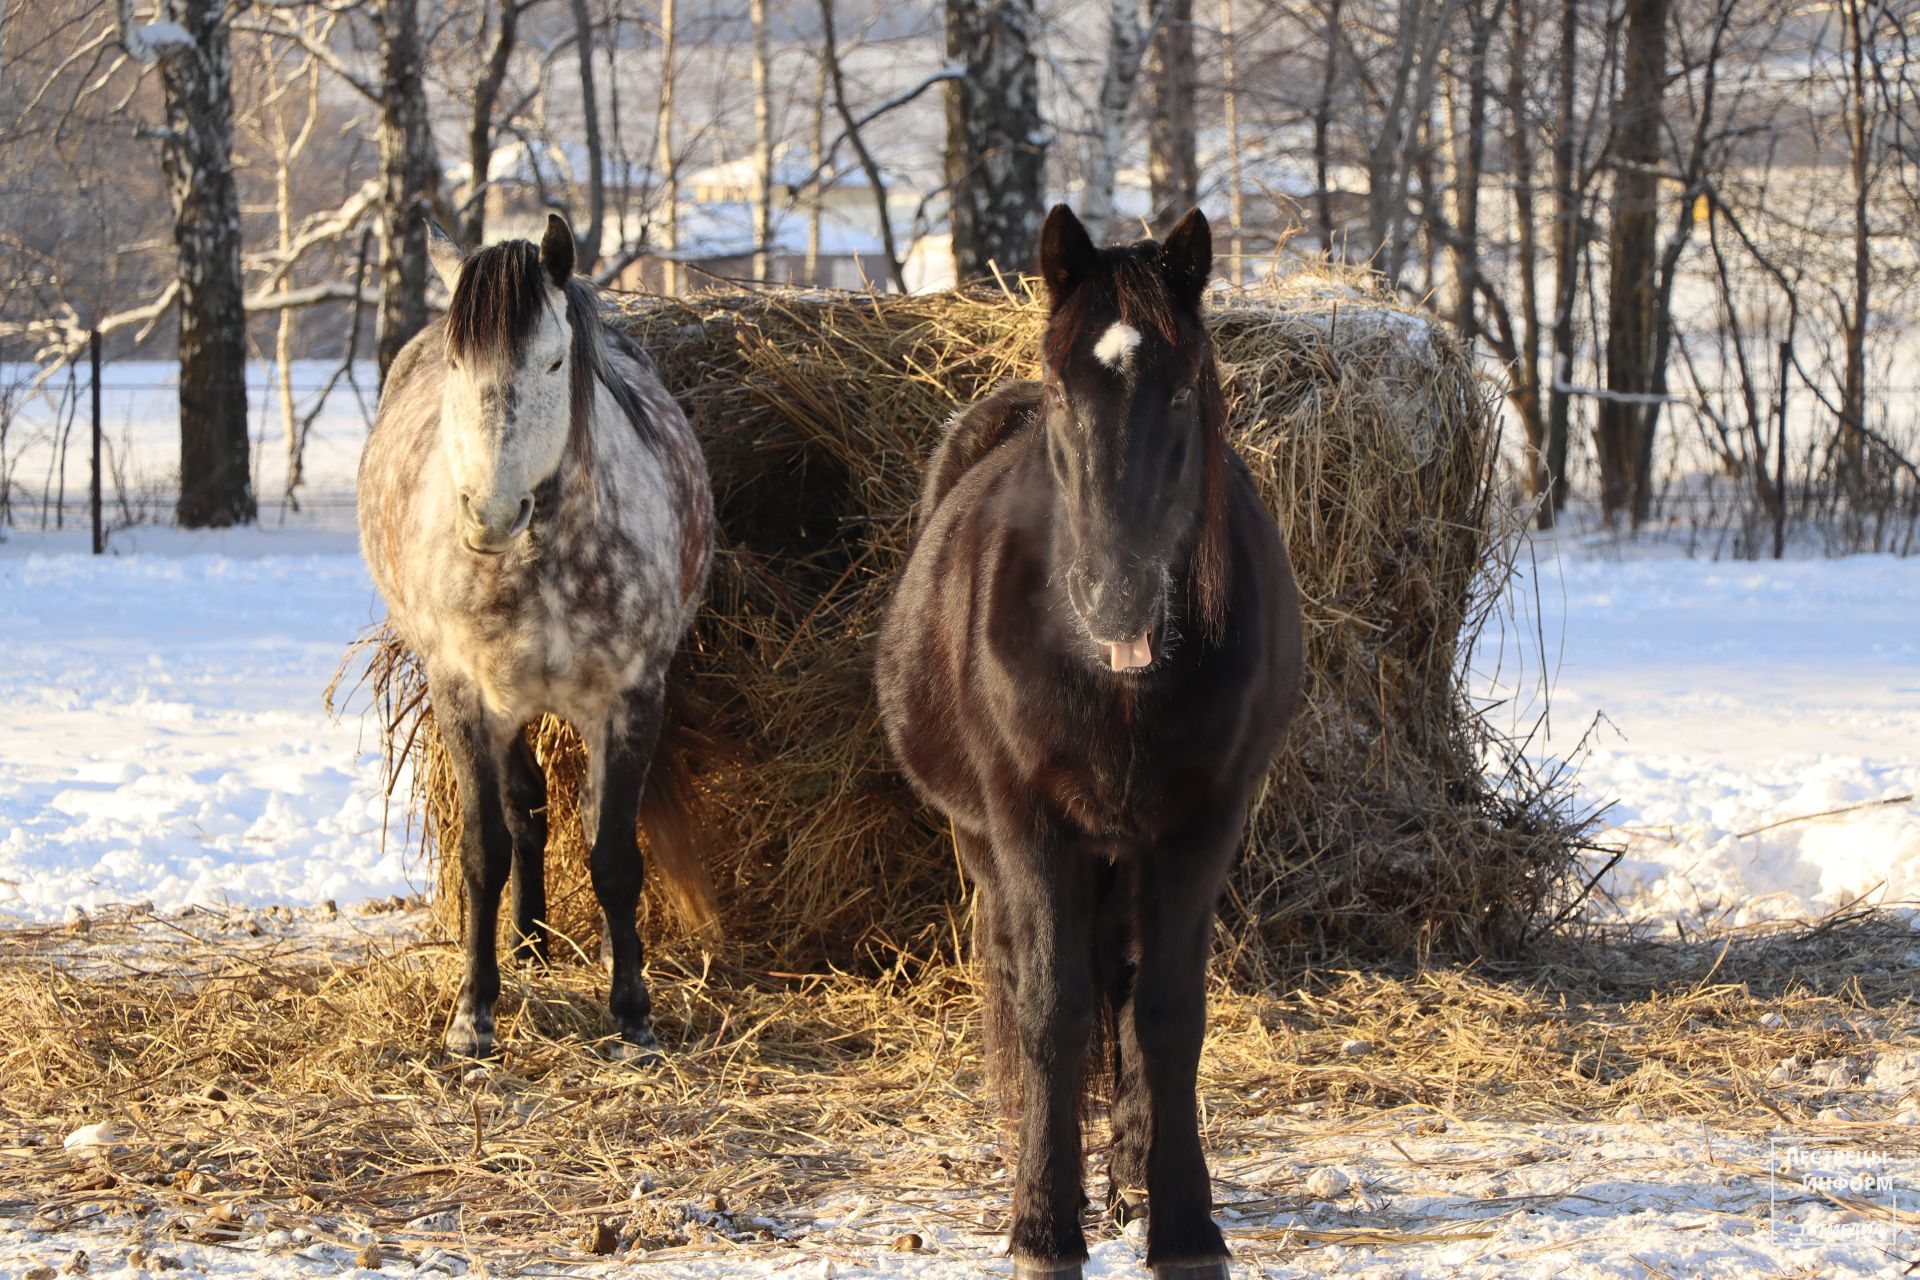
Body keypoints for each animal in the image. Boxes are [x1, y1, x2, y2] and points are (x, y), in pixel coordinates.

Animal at [358, 213, 714, 1060]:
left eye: (553, 360)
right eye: (458, 364)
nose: (489, 516)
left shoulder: (630, 699)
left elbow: (613, 855)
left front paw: (633, 1015)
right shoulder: (464, 695)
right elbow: (484, 850)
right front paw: (472, 1016)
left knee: (563, 810)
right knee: (524, 808)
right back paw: (525, 943)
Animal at [875, 205, 1302, 1280]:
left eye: (1184, 387)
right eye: (1070, 393)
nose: (1116, 596)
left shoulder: (1199, 827)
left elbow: (1167, 1013)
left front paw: (1182, 1222)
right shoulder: (1032, 824)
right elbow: (1050, 1010)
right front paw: (1041, 1222)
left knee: (1129, 986)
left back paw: (1130, 1177)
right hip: (996, 847)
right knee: (1035, 982)